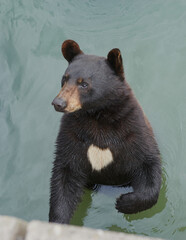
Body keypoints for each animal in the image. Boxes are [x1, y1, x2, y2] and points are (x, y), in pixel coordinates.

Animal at [49, 39, 161, 225]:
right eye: (64, 79)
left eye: (84, 83)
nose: (59, 103)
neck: (97, 118)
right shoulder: (71, 135)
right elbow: (65, 175)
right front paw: (58, 221)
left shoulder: (134, 130)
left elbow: (148, 164)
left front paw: (125, 202)